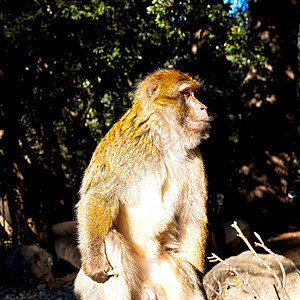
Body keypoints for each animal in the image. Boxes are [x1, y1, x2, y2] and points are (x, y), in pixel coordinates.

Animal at [74, 69, 210, 298]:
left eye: (195, 94)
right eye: (186, 94)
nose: (203, 107)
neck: (163, 139)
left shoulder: (194, 157)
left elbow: (191, 216)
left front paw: (201, 275)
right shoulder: (129, 151)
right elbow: (98, 197)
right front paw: (94, 263)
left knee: (185, 271)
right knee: (110, 242)